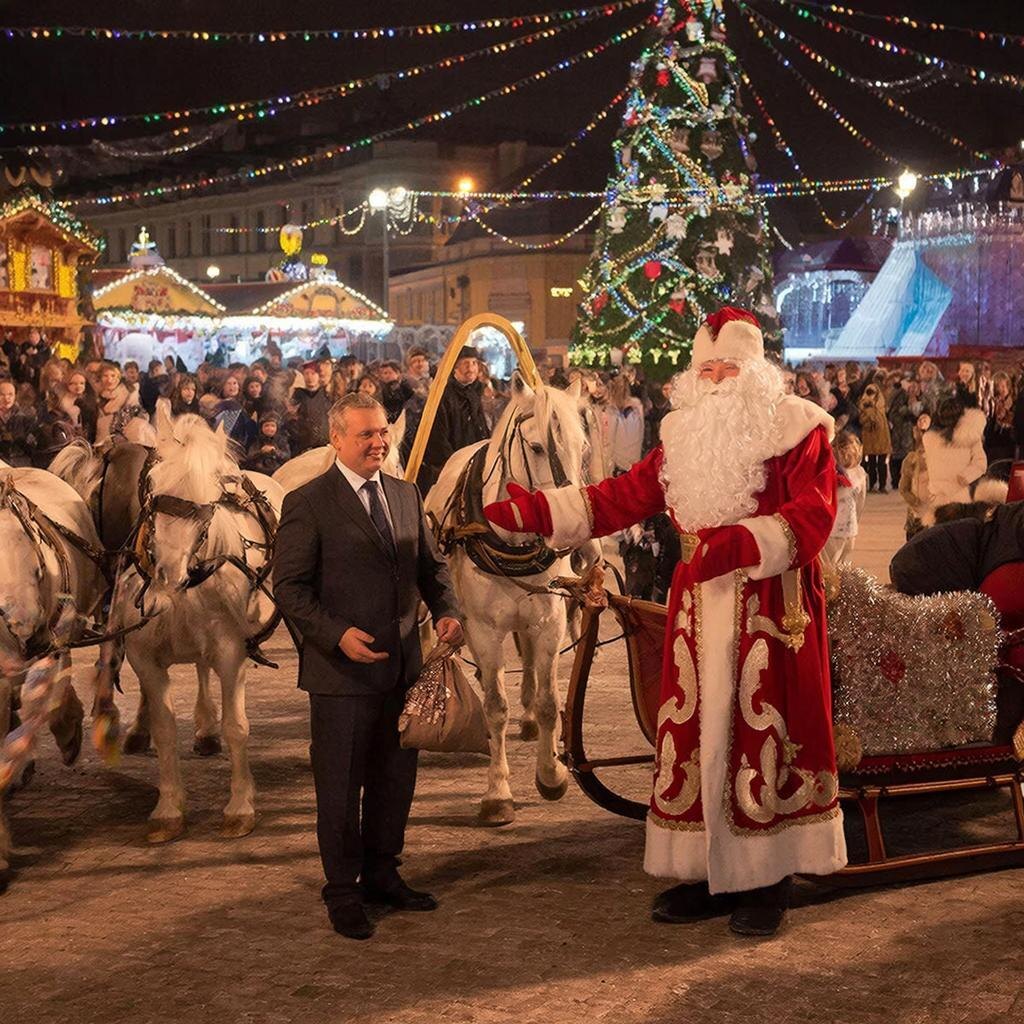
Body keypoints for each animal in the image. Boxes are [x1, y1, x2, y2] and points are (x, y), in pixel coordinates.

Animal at [104, 415, 283, 842]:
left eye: (214, 489)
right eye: (152, 481)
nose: (169, 571)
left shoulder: (231, 653)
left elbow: (236, 727)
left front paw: (240, 806)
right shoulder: (145, 659)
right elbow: (165, 729)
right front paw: (169, 809)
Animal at [423, 374, 592, 825]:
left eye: (583, 448)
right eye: (536, 447)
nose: (572, 530)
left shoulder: (549, 620)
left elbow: (550, 700)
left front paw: (551, 774)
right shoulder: (483, 629)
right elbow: (496, 705)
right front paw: (498, 792)